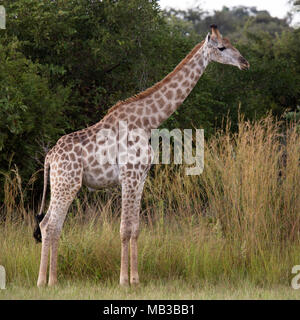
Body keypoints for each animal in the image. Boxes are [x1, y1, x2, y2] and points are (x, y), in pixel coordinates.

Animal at [33, 24, 248, 284]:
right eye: (222, 47)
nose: (245, 62)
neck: (148, 122)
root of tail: (49, 157)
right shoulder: (129, 175)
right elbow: (124, 228)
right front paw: (123, 280)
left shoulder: (141, 177)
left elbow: (135, 228)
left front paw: (135, 280)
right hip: (67, 183)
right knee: (49, 225)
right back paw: (44, 281)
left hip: (62, 183)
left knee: (52, 225)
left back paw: (50, 279)